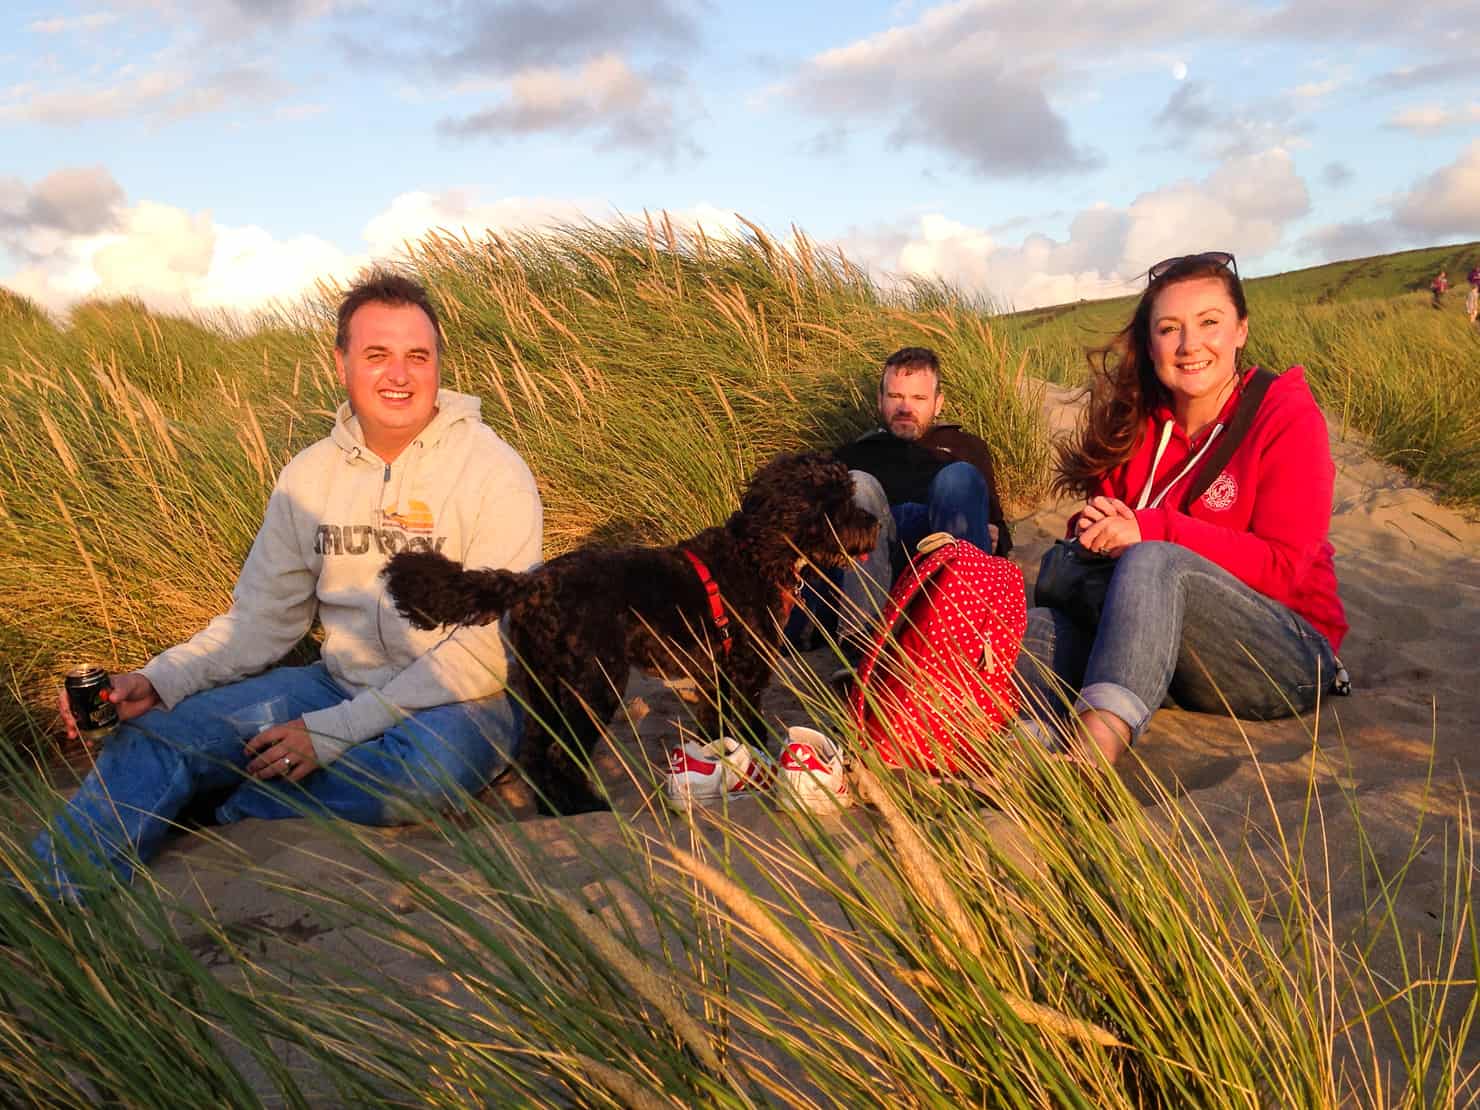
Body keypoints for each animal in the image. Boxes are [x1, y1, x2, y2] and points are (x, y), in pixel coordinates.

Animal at [381, 452, 876, 816]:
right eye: (836, 503)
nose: (873, 523)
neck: (754, 553)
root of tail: (532, 585)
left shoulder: (714, 677)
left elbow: (717, 730)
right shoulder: (746, 672)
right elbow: (749, 728)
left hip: (544, 685)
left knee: (536, 752)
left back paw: (557, 809)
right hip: (593, 686)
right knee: (559, 754)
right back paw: (584, 805)